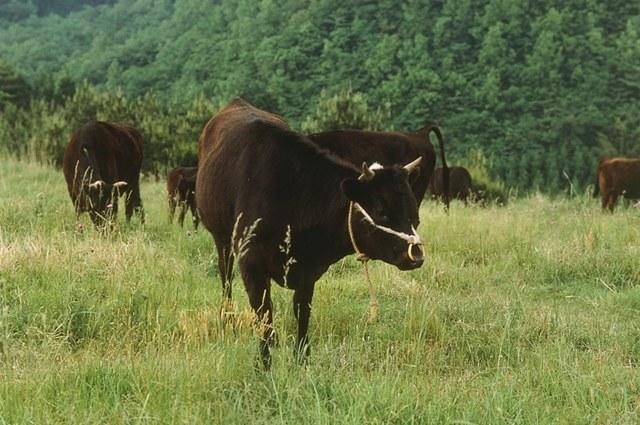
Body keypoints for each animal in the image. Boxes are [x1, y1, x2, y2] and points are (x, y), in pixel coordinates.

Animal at [195, 97, 424, 366]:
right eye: (381, 211)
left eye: (415, 214)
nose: (416, 256)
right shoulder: (251, 263)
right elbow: (263, 313)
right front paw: (264, 364)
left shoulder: (310, 269)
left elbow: (301, 310)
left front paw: (301, 358)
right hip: (222, 241)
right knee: (227, 281)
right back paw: (228, 322)